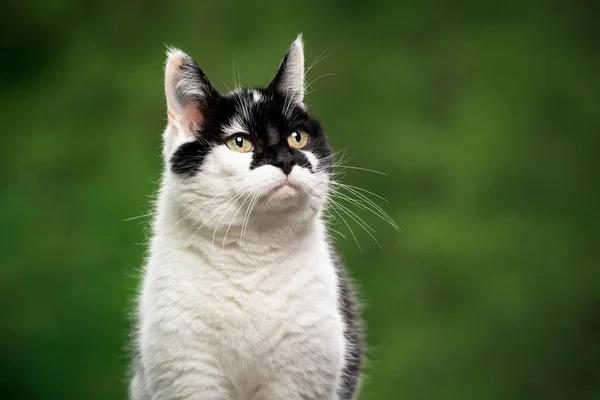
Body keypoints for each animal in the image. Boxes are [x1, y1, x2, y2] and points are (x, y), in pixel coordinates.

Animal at [131, 35, 364, 400]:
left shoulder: (301, 376)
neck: (252, 255)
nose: (285, 160)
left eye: (297, 137)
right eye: (239, 142)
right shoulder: (187, 371)